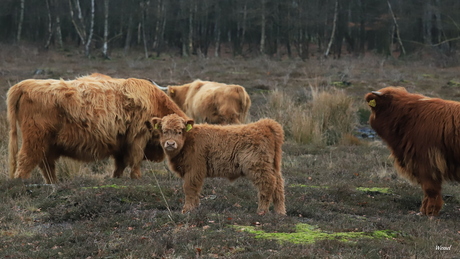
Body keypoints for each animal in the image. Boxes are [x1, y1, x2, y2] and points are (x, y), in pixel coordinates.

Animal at [5, 76, 189, 184]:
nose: (172, 145)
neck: (154, 102)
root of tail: (24, 84)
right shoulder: (137, 137)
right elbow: (135, 159)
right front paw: (136, 177)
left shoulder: (121, 143)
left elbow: (120, 163)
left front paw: (116, 178)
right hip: (35, 138)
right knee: (26, 160)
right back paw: (22, 184)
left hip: (47, 143)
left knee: (46, 164)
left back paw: (54, 184)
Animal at [149, 114, 286, 215]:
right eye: (164, 131)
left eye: (180, 131)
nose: (170, 144)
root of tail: (264, 124)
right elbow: (196, 190)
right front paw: (195, 207)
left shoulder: (194, 169)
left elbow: (189, 188)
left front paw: (187, 209)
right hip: (273, 166)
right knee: (278, 185)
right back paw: (280, 212)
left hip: (257, 166)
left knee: (267, 184)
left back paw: (262, 211)